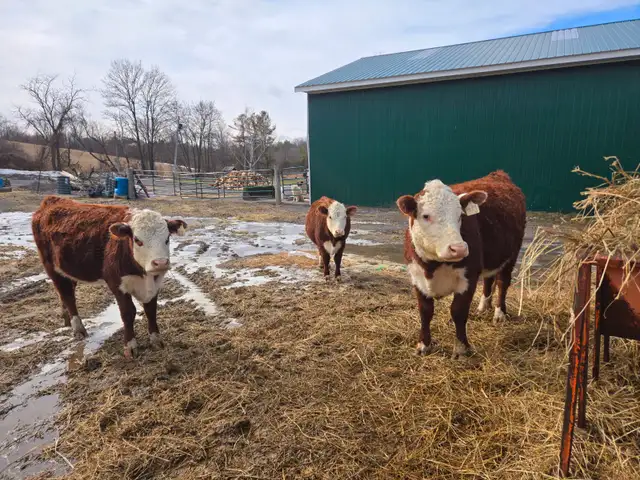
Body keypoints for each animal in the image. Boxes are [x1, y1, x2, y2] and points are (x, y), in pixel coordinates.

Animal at [31, 196, 187, 358]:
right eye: (137, 240)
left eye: (167, 238)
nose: (161, 263)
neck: (143, 275)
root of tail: (52, 200)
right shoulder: (115, 282)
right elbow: (128, 312)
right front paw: (130, 346)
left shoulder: (154, 283)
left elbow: (151, 310)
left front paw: (156, 340)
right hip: (51, 267)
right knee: (67, 296)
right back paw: (78, 329)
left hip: (68, 270)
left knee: (65, 293)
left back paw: (66, 319)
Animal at [396, 170, 526, 359]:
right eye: (426, 216)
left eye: (460, 216)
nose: (459, 249)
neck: (433, 266)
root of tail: (498, 174)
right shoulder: (416, 277)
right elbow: (425, 312)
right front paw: (423, 345)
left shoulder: (469, 277)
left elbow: (458, 311)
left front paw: (461, 349)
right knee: (488, 279)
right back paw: (483, 307)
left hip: (511, 255)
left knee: (503, 283)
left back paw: (499, 314)